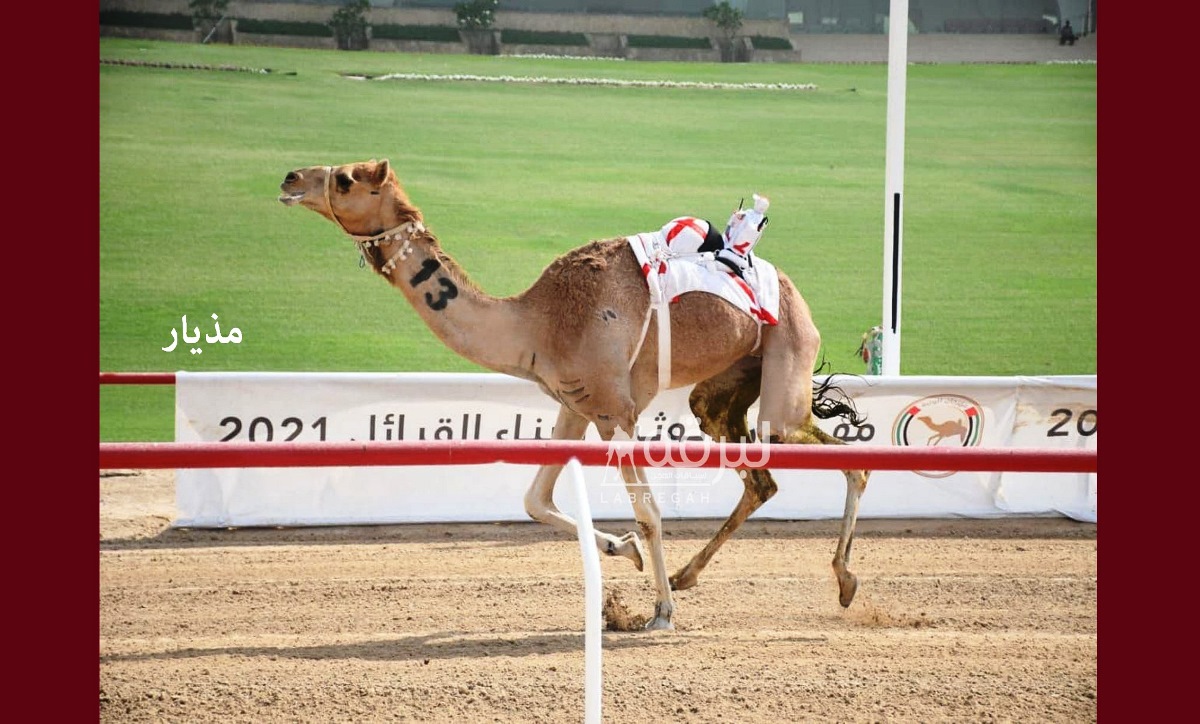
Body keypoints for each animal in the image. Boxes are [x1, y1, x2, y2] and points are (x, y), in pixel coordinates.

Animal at [282, 159, 883, 629]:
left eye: (344, 180)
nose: (290, 178)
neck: (537, 323)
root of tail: (790, 287)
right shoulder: (574, 404)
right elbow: (535, 500)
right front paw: (626, 553)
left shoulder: (615, 410)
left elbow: (648, 509)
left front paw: (659, 612)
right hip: (726, 386)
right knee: (760, 476)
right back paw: (689, 574)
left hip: (787, 353)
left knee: (840, 455)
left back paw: (844, 579)